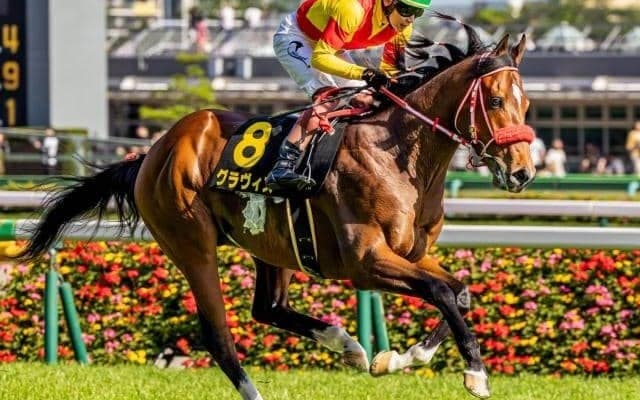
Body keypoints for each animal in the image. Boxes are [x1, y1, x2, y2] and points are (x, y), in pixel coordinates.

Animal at [18, 19, 535, 400]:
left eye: (527, 103)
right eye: (494, 99)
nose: (523, 172)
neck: (399, 157)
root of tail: (151, 152)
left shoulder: (412, 253)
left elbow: (459, 293)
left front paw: (398, 358)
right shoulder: (366, 261)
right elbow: (443, 293)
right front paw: (475, 374)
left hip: (272, 244)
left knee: (268, 308)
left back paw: (346, 344)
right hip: (190, 242)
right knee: (219, 335)